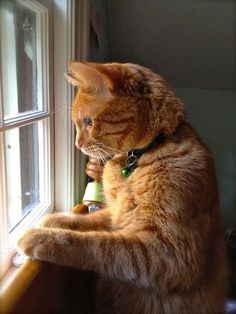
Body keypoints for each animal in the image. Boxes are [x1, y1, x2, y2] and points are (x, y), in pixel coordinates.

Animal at [17, 62, 228, 314]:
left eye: (89, 122)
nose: (77, 144)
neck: (140, 156)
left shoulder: (169, 253)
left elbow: (98, 245)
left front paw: (43, 238)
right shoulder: (116, 214)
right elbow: (86, 221)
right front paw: (54, 221)